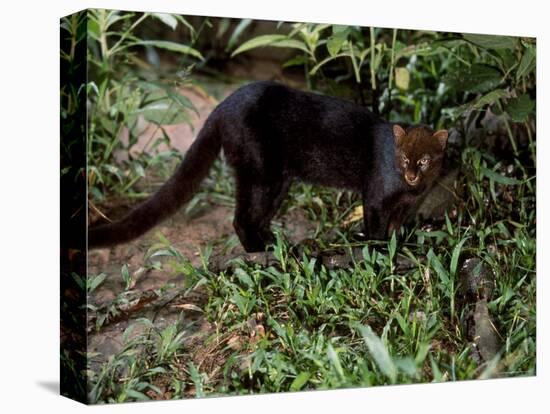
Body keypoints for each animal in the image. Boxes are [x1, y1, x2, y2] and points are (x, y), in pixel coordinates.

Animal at [87, 79, 448, 251]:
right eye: (404, 159)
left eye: (425, 160)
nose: (411, 174)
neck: (410, 190)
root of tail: (223, 105)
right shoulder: (374, 197)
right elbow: (376, 228)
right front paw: (378, 251)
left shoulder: (405, 206)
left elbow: (396, 227)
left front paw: (399, 247)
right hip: (261, 173)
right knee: (240, 218)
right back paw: (258, 252)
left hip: (277, 180)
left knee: (257, 216)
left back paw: (275, 245)